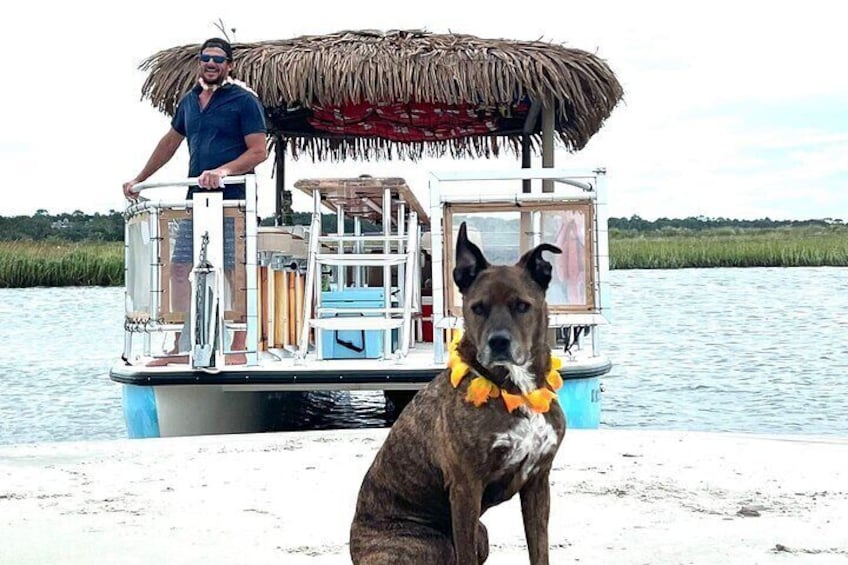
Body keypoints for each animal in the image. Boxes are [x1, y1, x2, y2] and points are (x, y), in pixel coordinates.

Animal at [348, 223, 568, 560]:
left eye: (522, 306)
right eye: (478, 308)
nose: (498, 342)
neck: (515, 389)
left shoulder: (538, 482)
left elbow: (539, 550)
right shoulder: (466, 487)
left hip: (482, 533)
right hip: (425, 544)